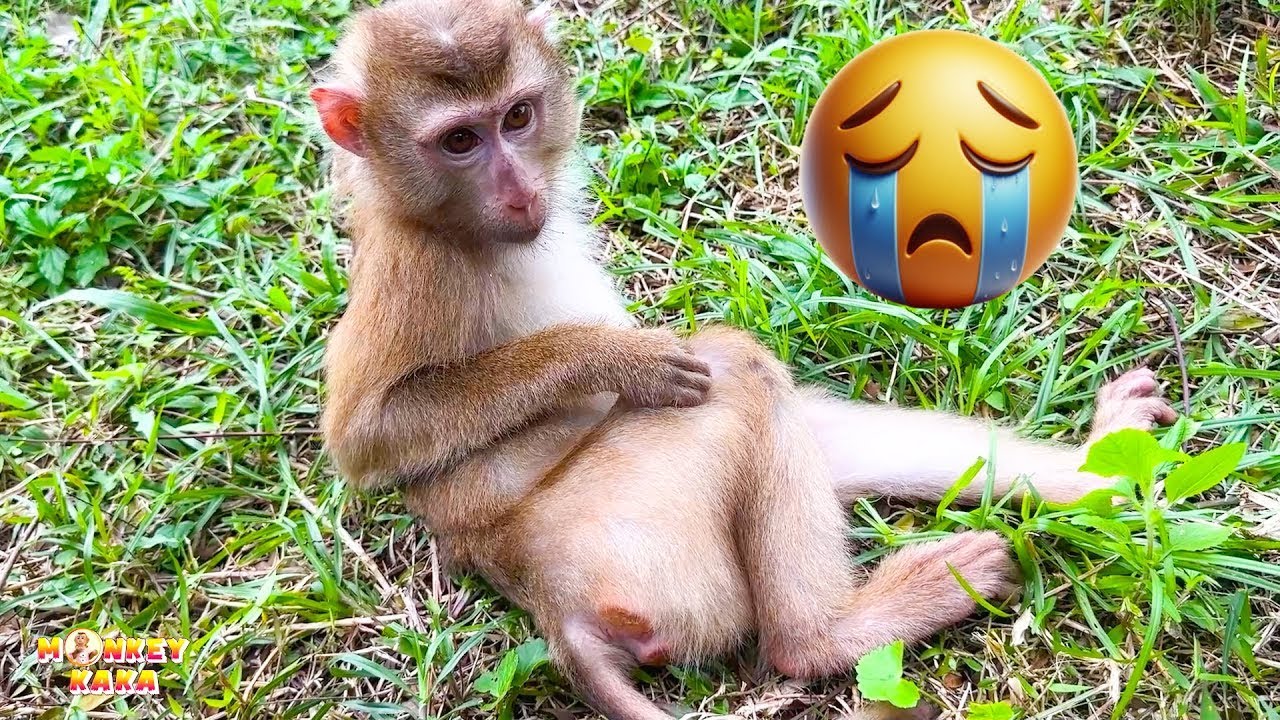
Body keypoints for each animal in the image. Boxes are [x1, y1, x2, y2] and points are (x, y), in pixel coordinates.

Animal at [308, 2, 1178, 718]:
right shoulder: (417, 270)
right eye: (459, 140)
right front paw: (612, 359)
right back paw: (829, 636)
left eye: (517, 117)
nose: (521, 189)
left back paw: (1094, 471)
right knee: (735, 369)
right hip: (631, 528)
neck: (463, 231)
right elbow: (369, 439)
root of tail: (550, 602)